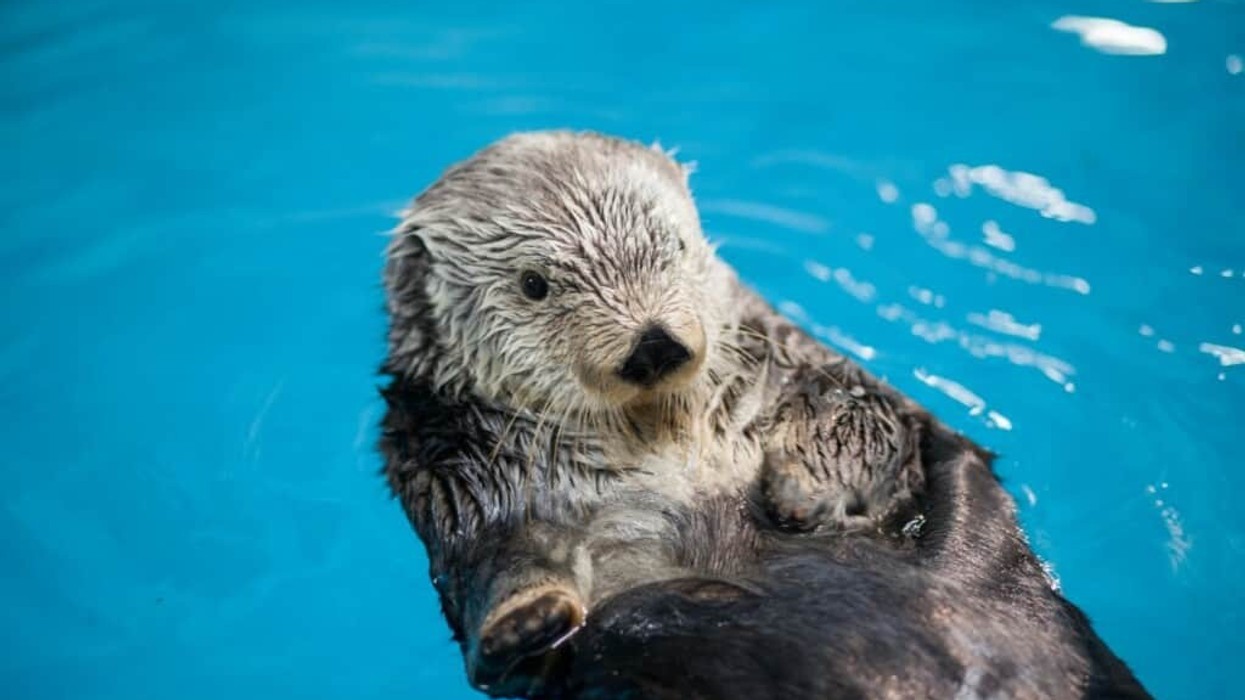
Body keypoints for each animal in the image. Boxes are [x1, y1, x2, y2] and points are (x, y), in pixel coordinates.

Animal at [379, 131, 1150, 699]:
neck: (663, 441)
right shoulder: (454, 470)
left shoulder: (794, 356)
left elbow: (868, 418)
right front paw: (527, 619)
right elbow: (497, 575)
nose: (653, 343)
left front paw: (799, 491)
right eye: (534, 285)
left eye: (675, 247)